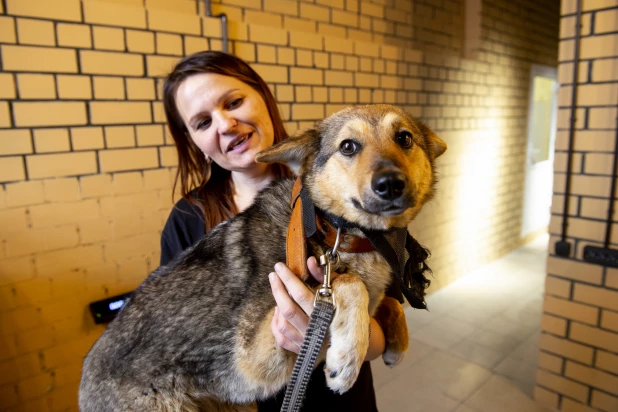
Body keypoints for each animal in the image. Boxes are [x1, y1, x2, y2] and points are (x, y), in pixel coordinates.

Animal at [79, 104, 446, 410]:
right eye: (348, 147)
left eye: (404, 138)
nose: (391, 183)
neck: (332, 231)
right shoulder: (256, 361)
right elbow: (352, 284)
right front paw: (347, 358)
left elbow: (390, 303)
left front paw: (396, 344)